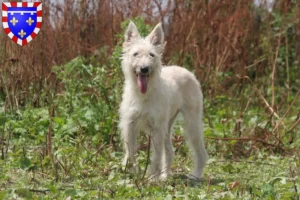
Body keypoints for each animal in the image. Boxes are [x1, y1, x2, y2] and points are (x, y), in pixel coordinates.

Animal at [118, 21, 207, 180]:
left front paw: (152, 178)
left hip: (192, 124)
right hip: (168, 126)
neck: (144, 95)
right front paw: (132, 172)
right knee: (170, 151)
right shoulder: (130, 126)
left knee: (201, 153)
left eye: (152, 55)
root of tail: (187, 71)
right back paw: (165, 176)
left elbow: (156, 157)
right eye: (136, 54)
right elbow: (131, 152)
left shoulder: (157, 129)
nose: (144, 69)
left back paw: (195, 175)